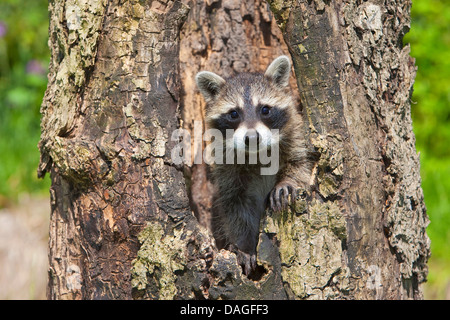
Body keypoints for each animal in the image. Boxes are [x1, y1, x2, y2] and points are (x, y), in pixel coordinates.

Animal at [195, 55, 314, 276]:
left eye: (265, 109)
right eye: (234, 114)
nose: (251, 138)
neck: (256, 154)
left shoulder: (295, 135)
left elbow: (300, 163)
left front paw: (287, 181)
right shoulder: (226, 169)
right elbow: (234, 207)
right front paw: (244, 245)